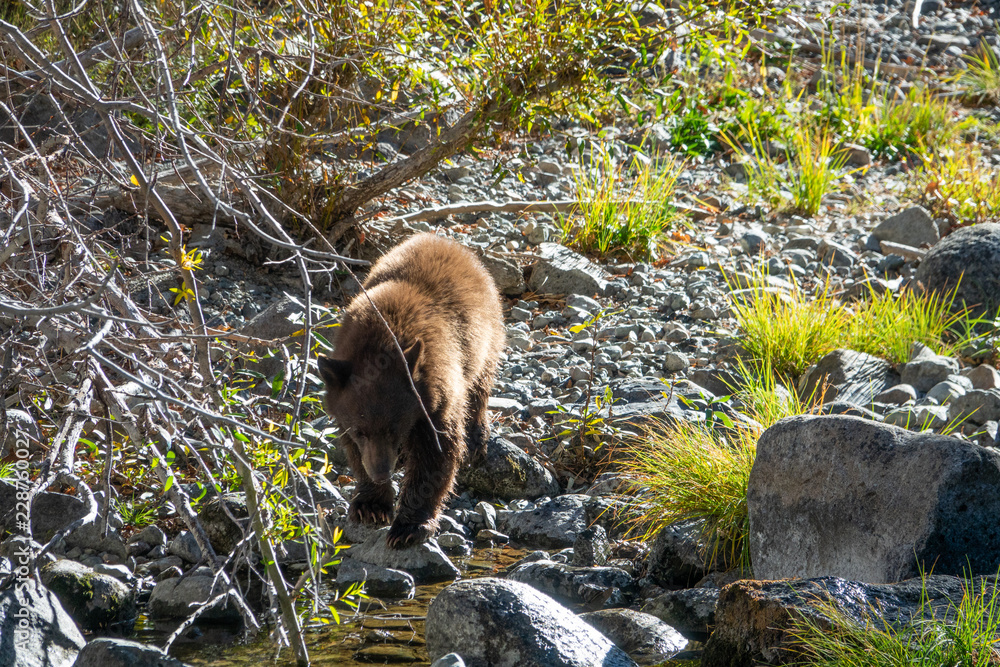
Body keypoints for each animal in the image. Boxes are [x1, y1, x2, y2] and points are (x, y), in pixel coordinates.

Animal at [317, 233, 505, 549]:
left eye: (394, 428)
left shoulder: (438, 396)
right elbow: (354, 452)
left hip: (486, 338)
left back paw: (476, 437)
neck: (380, 339)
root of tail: (444, 240)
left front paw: (408, 527)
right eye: (360, 431)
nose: (381, 473)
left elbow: (436, 454)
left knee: (480, 385)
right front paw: (370, 505)